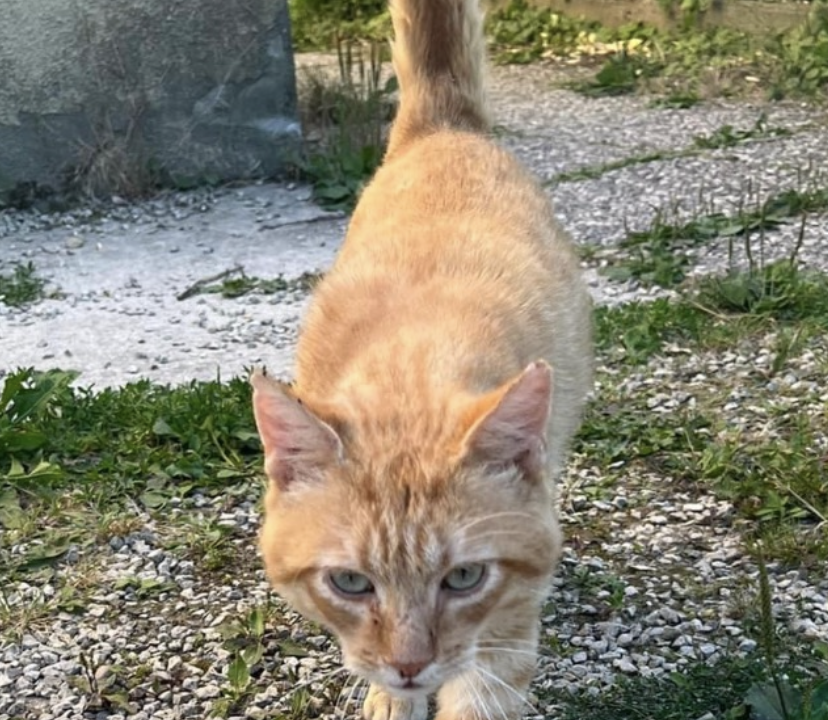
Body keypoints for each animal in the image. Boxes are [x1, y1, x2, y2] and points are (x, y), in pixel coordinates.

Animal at [252, 1, 596, 720]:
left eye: (464, 577)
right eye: (350, 582)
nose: (410, 666)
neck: (408, 373)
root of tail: (445, 125)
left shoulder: (504, 634)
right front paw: (389, 698)